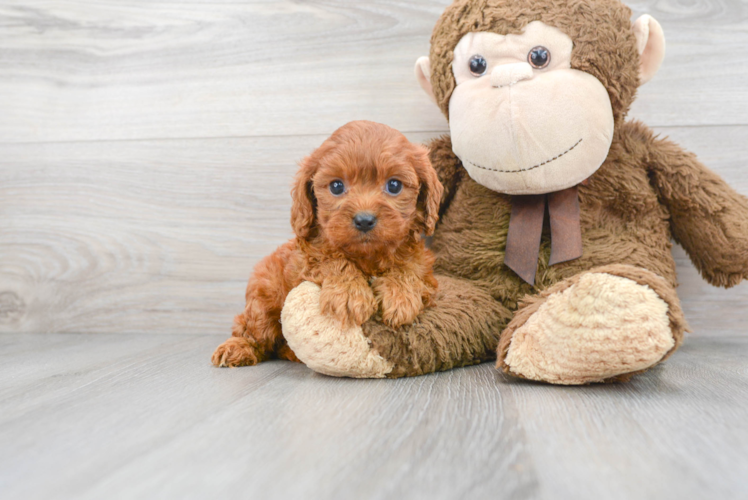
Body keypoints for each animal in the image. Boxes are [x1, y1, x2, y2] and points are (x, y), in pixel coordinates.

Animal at [210, 119, 444, 366]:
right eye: (337, 186)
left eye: (394, 185)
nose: (364, 220)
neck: (367, 256)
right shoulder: (305, 258)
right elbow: (331, 259)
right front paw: (350, 294)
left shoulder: (424, 270)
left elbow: (408, 266)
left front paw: (400, 296)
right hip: (263, 297)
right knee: (252, 328)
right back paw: (238, 347)